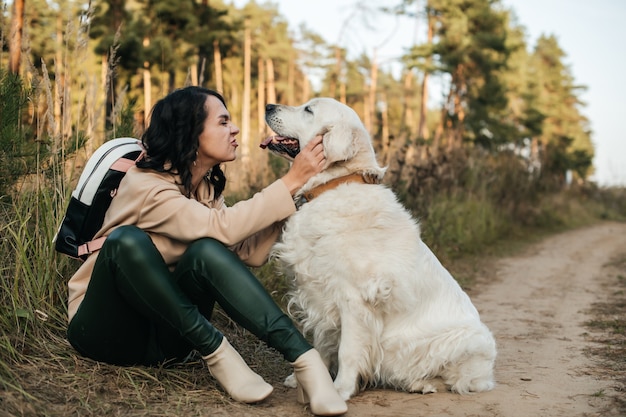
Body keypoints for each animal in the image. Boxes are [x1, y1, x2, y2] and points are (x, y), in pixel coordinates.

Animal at [260, 97, 494, 400]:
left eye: (309, 109)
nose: (268, 106)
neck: (332, 186)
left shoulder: (354, 298)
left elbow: (348, 351)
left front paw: (340, 389)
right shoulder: (319, 293)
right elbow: (322, 342)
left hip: (466, 342)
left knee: (457, 381)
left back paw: (421, 383)